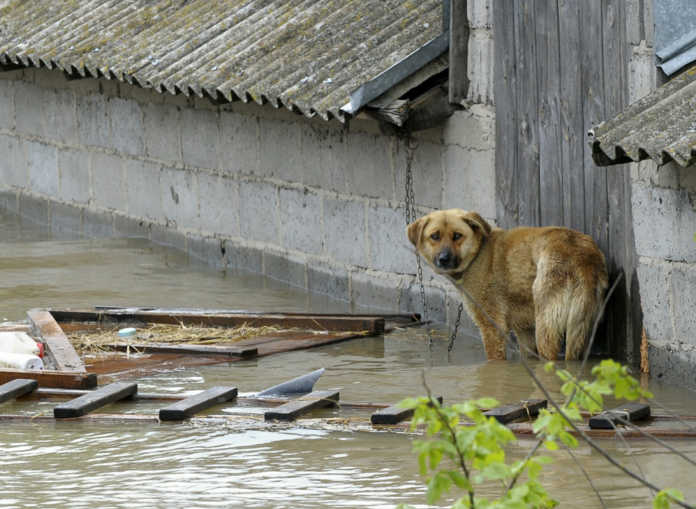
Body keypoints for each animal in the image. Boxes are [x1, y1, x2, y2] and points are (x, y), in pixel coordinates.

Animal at [406, 208, 608, 360]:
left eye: (457, 236)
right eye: (435, 236)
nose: (444, 259)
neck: (477, 254)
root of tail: (580, 255)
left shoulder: (492, 327)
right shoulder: (525, 331)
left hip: (546, 326)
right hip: (579, 329)